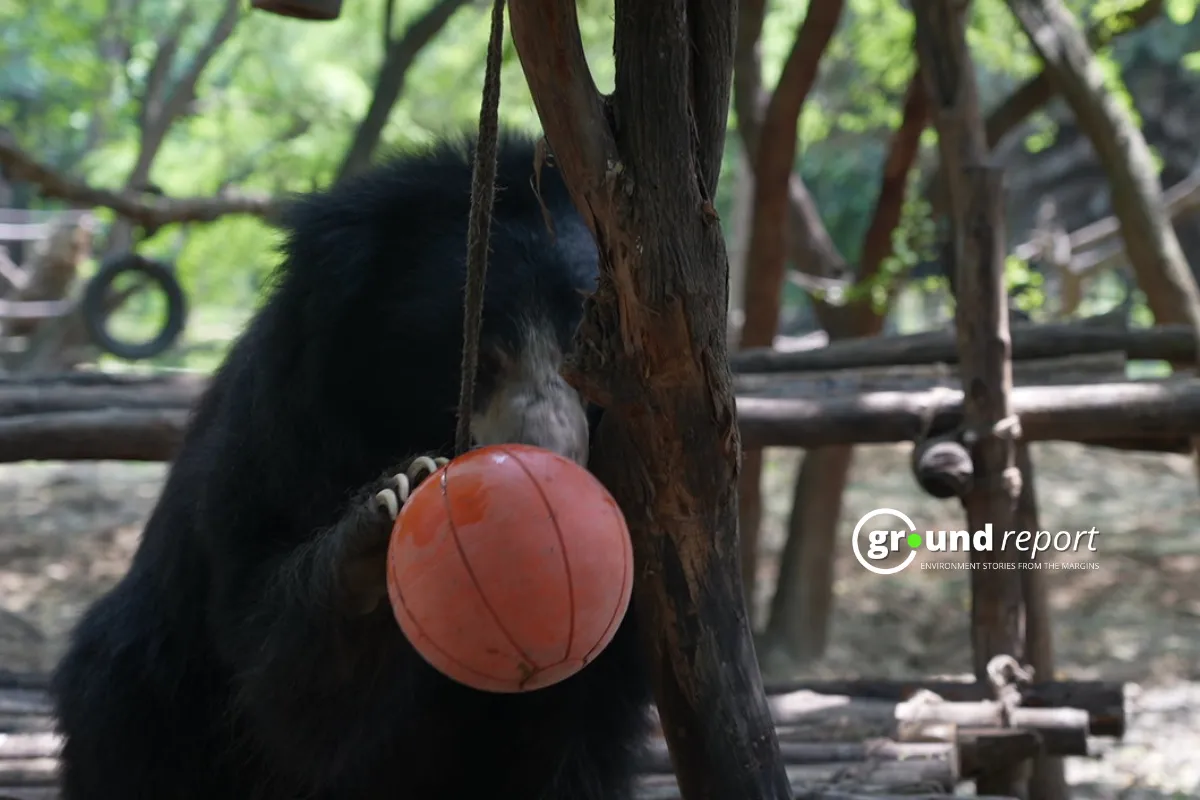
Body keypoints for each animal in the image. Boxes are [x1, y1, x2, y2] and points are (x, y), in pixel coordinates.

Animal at [49, 131, 648, 800]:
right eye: (480, 355)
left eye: (583, 348)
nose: (547, 459)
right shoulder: (287, 426)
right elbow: (279, 676)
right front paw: (379, 526)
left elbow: (571, 732)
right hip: (150, 688)